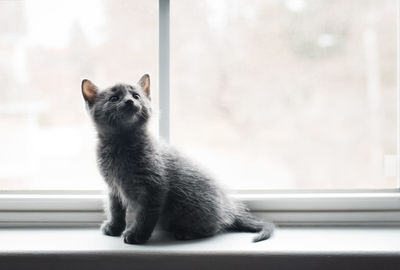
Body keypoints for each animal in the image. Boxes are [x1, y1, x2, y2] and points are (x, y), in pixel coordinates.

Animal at [81, 74, 276, 245]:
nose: (130, 101)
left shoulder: (154, 189)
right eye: (114, 98)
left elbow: (145, 216)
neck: (122, 143)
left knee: (214, 228)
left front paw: (137, 235)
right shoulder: (113, 188)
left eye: (136, 95)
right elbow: (115, 210)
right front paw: (114, 227)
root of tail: (229, 208)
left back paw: (186, 233)